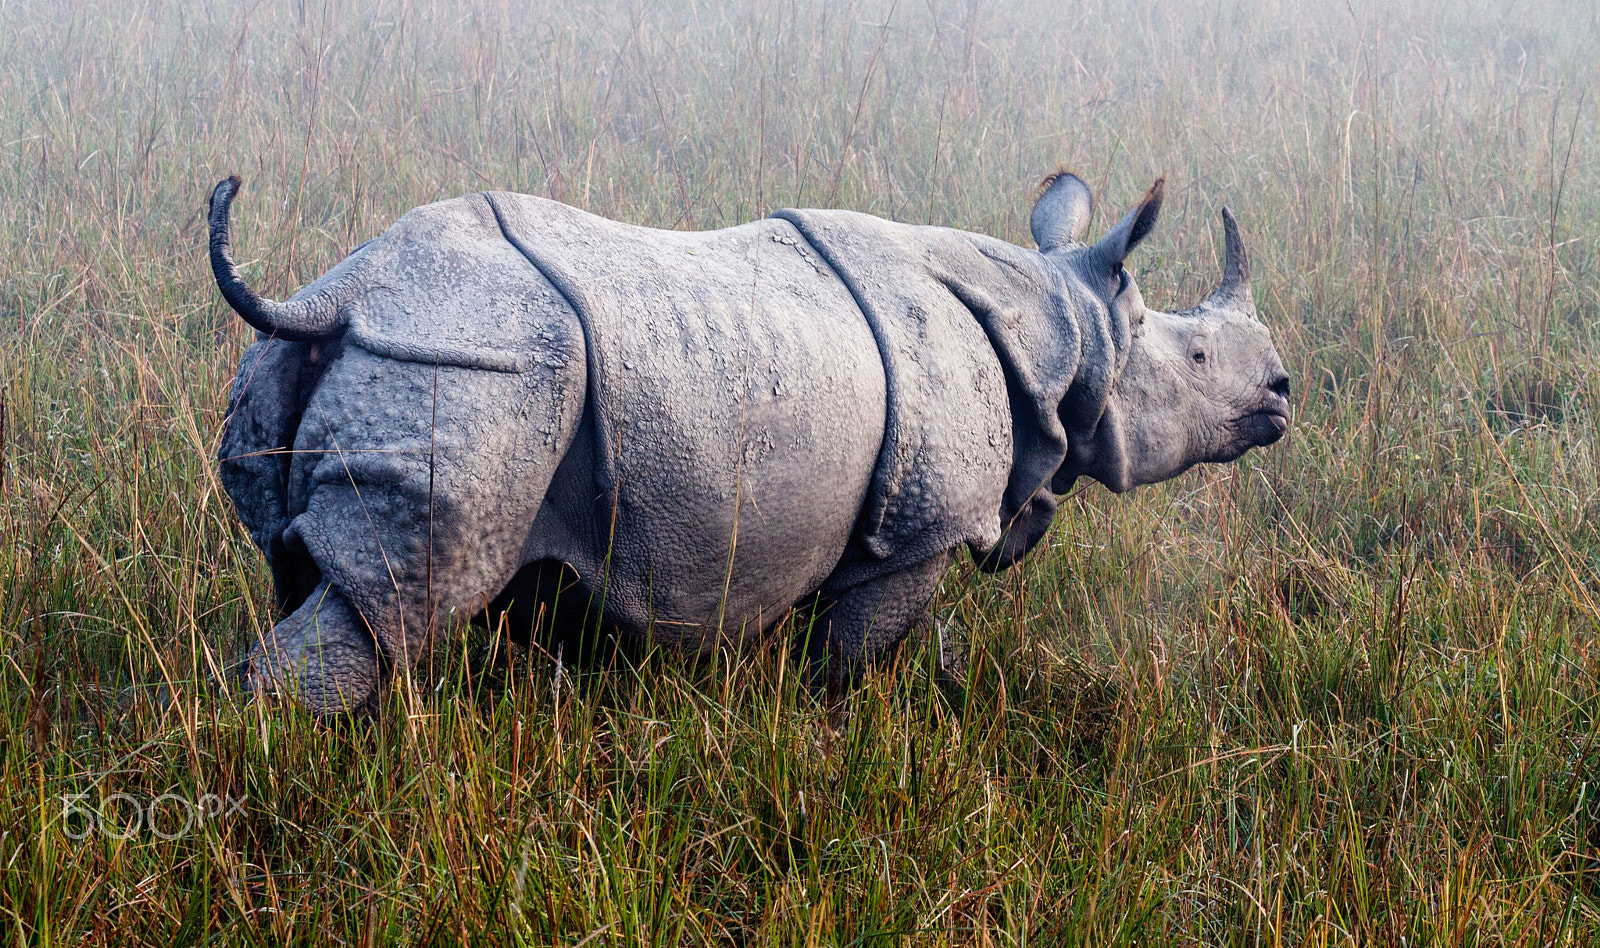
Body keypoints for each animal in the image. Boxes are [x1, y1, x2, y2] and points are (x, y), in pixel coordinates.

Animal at [210, 169, 1290, 714]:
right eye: (1197, 357)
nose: (1281, 393)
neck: (1070, 327)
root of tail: (341, 295)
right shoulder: (917, 528)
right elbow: (854, 652)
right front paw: (829, 730)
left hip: (322, 367)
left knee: (309, 574)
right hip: (477, 369)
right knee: (396, 598)